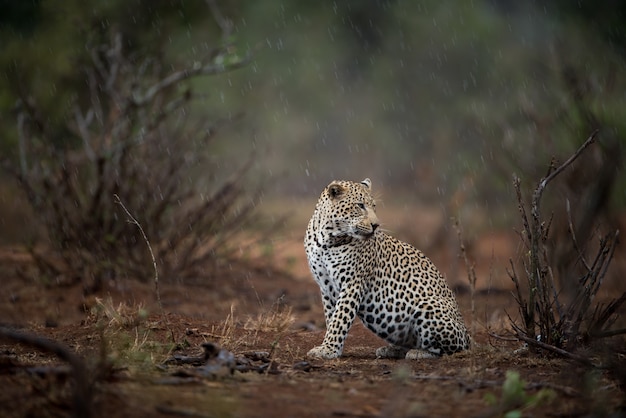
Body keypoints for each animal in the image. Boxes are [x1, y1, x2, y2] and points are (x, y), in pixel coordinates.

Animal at [302, 177, 468, 360]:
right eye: (360, 205)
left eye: (374, 206)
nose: (376, 225)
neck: (326, 239)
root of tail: (467, 334)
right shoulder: (326, 286)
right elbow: (332, 317)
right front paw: (332, 348)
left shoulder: (353, 283)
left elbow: (340, 318)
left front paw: (328, 349)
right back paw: (392, 350)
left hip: (429, 306)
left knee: (452, 348)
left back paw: (418, 352)